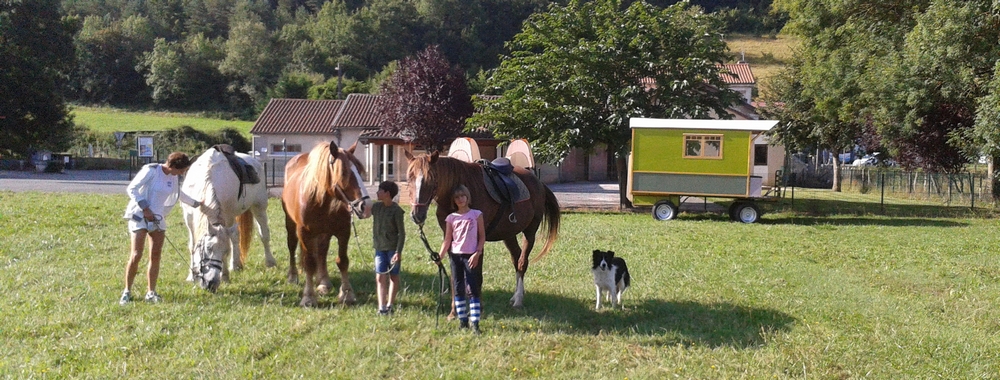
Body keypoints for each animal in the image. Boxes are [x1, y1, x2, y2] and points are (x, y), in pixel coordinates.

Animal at [182, 148, 276, 290]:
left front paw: (225, 276)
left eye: (224, 252)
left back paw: (269, 262)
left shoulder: (227, 217)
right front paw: (191, 276)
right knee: (236, 235)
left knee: (263, 234)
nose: (211, 283)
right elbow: (192, 245)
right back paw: (236, 265)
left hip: (258, 207)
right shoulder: (189, 218)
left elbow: (229, 241)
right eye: (208, 248)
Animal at [284, 141, 374, 308]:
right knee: (292, 246)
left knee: (322, 252)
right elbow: (309, 263)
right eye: (343, 172)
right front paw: (308, 297)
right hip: (291, 224)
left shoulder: (344, 232)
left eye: (359, 170)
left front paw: (347, 293)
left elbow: (342, 261)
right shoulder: (305, 233)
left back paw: (324, 282)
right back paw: (293, 276)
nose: (366, 207)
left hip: (324, 233)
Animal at [406, 150, 564, 308]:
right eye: (409, 178)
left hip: (530, 232)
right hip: (508, 234)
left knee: (522, 262)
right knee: (516, 257)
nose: (417, 215)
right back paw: (515, 296)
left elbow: (477, 276)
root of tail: (538, 183)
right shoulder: (450, 237)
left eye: (431, 179)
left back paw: (518, 299)